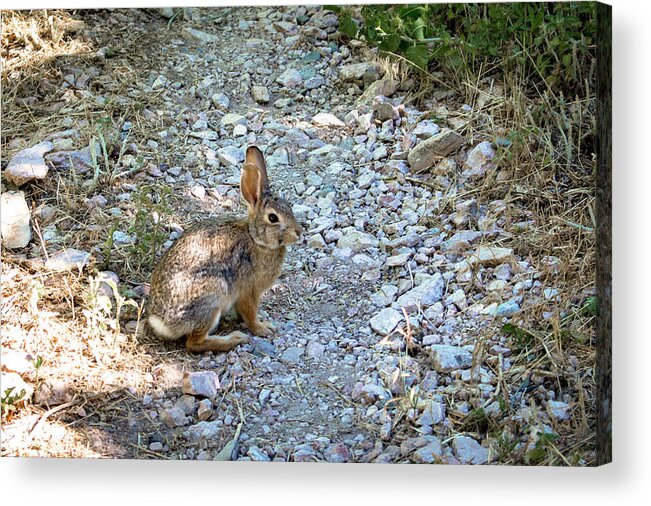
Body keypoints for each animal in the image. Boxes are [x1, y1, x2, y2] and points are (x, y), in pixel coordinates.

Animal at [146, 145, 304, 352]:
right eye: (273, 218)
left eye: (290, 208)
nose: (299, 232)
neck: (256, 239)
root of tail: (161, 322)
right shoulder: (248, 291)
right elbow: (250, 314)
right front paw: (263, 329)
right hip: (214, 296)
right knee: (194, 343)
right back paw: (235, 339)